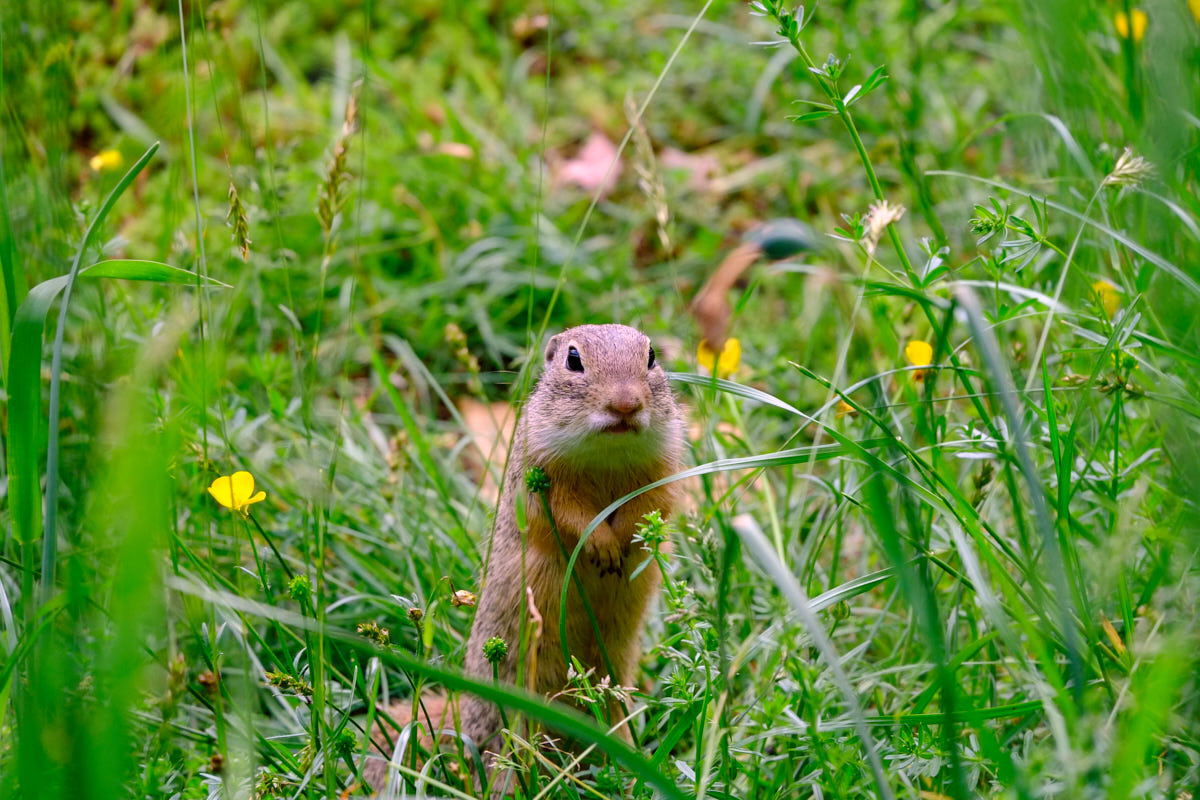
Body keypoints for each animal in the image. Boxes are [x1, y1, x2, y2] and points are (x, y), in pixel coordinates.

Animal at [364, 326, 686, 786]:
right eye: (573, 360)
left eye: (652, 357)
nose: (626, 405)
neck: (607, 454)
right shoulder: (542, 478)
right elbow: (568, 516)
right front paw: (602, 545)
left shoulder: (663, 468)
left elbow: (651, 506)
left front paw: (623, 542)